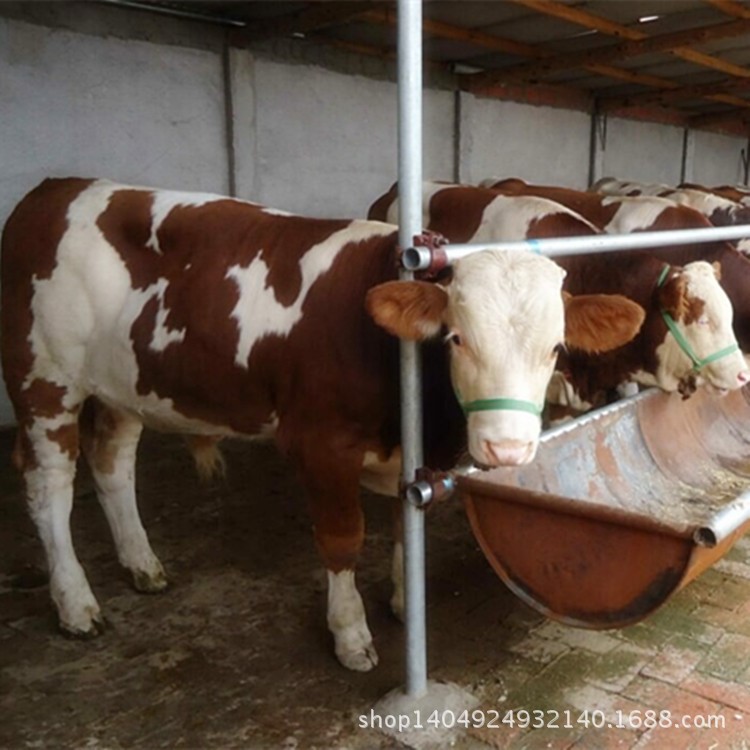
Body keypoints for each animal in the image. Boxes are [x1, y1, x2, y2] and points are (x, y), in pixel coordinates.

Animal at [1, 179, 648, 672]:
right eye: (457, 338)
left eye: (555, 347)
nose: (507, 448)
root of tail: (53, 190)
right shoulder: (321, 446)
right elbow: (343, 541)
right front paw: (350, 633)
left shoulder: (414, 451)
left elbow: (404, 524)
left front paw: (404, 601)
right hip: (44, 383)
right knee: (49, 490)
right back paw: (75, 602)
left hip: (123, 384)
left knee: (113, 465)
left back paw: (142, 564)